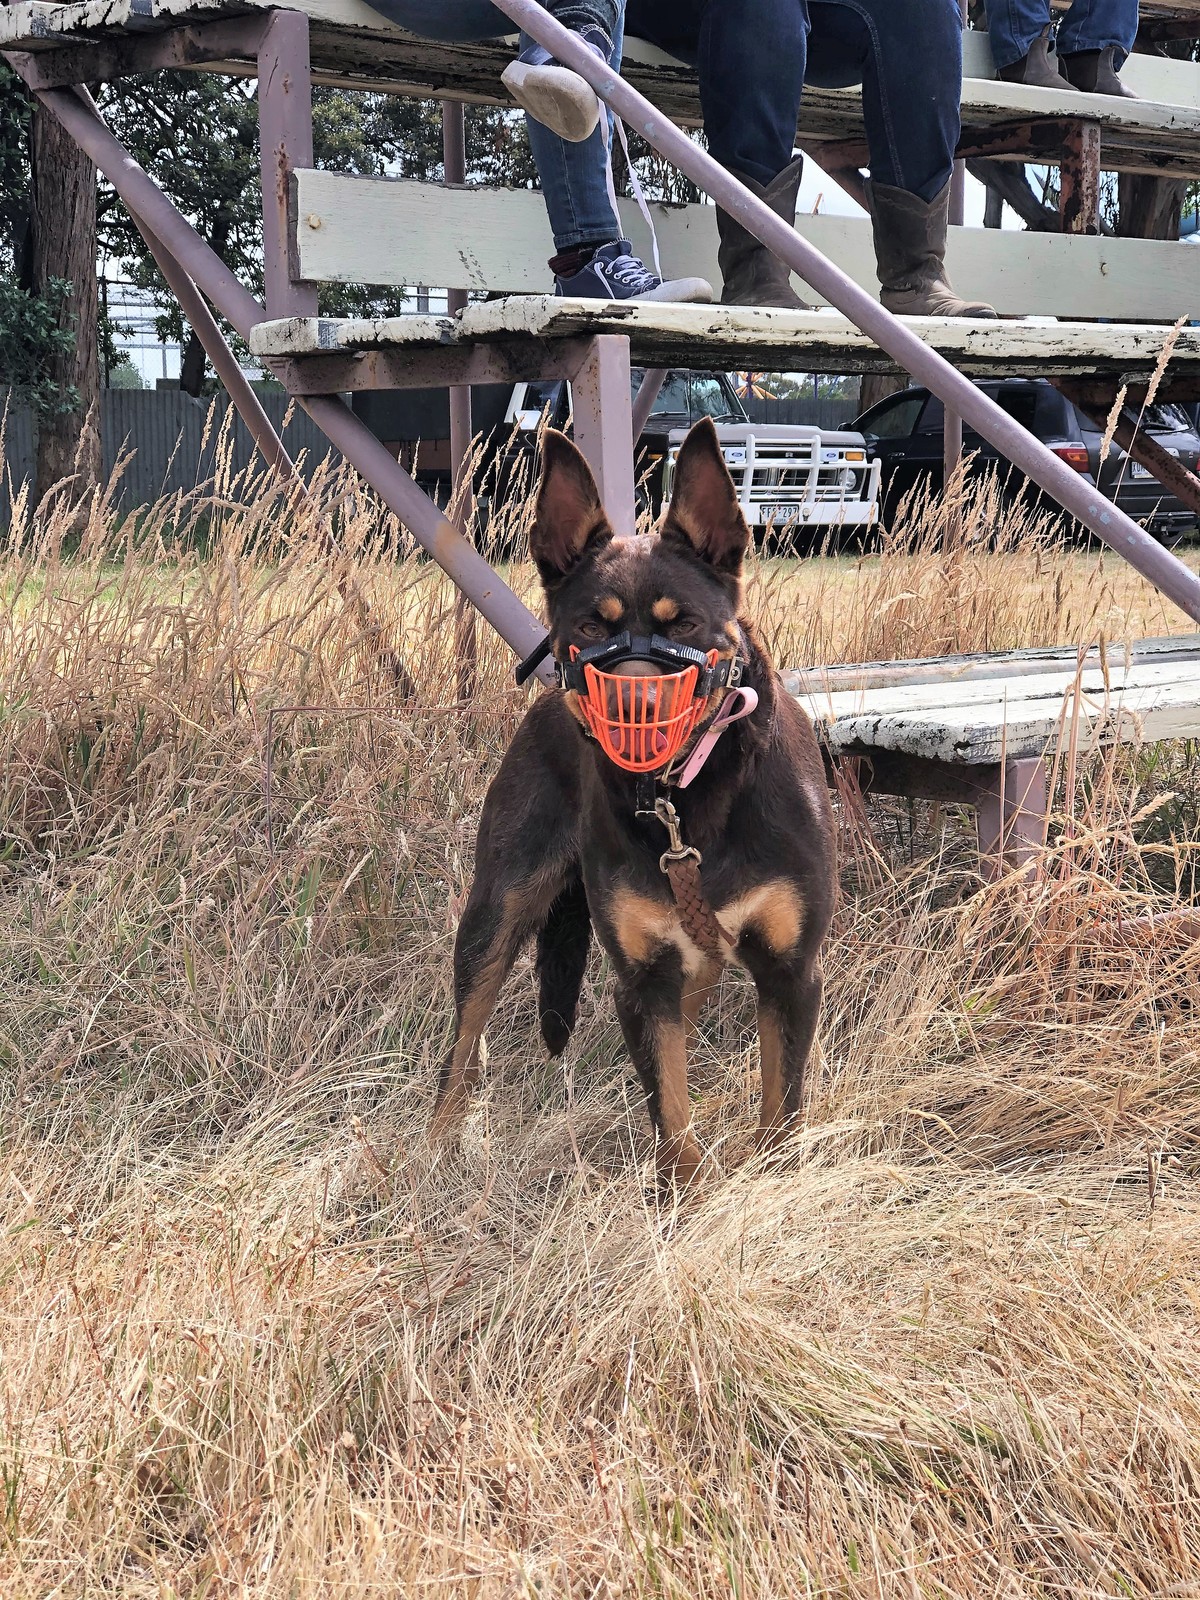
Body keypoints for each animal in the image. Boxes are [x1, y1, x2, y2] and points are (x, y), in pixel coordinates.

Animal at [432, 419, 838, 1184]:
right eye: (593, 627)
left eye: (684, 626)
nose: (637, 707)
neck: (692, 795)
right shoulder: (642, 979)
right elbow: (671, 1118)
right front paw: (685, 1190)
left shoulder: (790, 969)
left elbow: (781, 1104)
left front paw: (772, 1182)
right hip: (496, 910)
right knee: (461, 1044)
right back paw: (434, 1149)